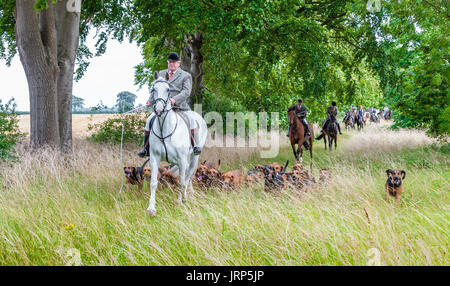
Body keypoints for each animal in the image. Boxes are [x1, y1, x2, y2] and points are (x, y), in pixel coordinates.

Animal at [147, 72, 208, 217]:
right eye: (153, 89)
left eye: (168, 89)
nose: (159, 109)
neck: (164, 128)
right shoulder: (154, 158)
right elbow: (153, 183)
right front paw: (151, 209)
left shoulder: (181, 159)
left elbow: (181, 182)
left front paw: (181, 202)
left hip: (194, 156)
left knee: (188, 175)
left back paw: (186, 196)